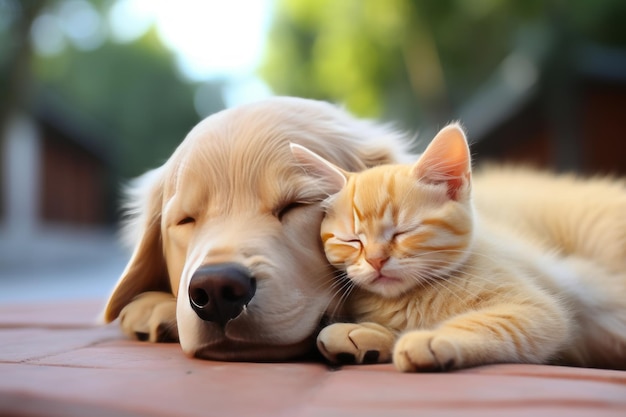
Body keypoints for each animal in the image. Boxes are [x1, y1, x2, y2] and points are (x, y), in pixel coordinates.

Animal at [290, 122, 624, 370]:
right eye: (352, 240)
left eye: (402, 232)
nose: (375, 260)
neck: (413, 299)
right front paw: (366, 334)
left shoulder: (539, 310)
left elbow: (489, 322)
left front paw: (430, 339)